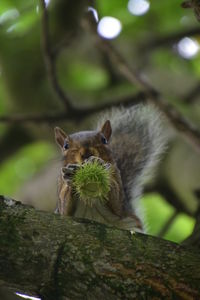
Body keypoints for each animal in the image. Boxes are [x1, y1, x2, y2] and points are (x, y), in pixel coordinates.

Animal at [54, 103, 165, 232]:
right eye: (66, 146)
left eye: (104, 140)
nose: (87, 153)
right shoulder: (60, 189)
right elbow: (64, 208)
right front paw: (70, 176)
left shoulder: (116, 179)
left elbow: (117, 203)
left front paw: (100, 167)